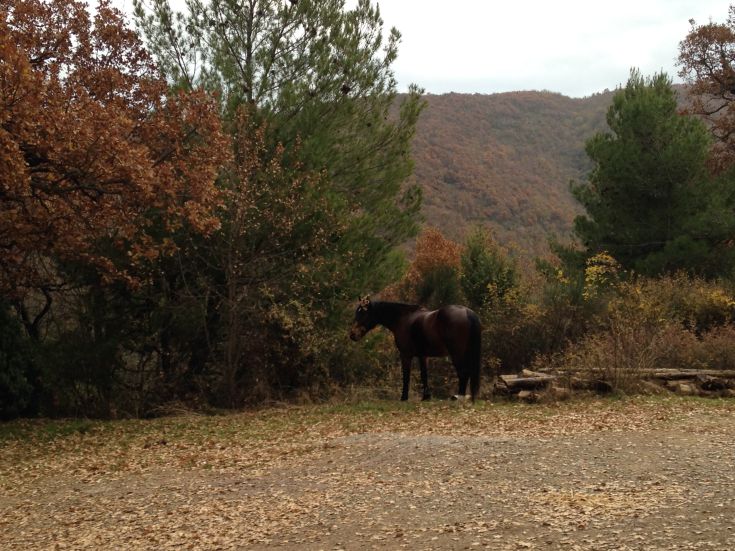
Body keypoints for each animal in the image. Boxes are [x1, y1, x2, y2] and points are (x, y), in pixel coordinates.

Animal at [349, 296, 482, 402]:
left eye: (363, 313)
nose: (352, 335)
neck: (403, 318)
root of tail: (467, 312)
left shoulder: (405, 355)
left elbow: (406, 376)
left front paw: (404, 397)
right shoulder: (422, 355)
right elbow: (424, 374)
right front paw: (426, 397)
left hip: (457, 354)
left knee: (463, 372)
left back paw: (459, 397)